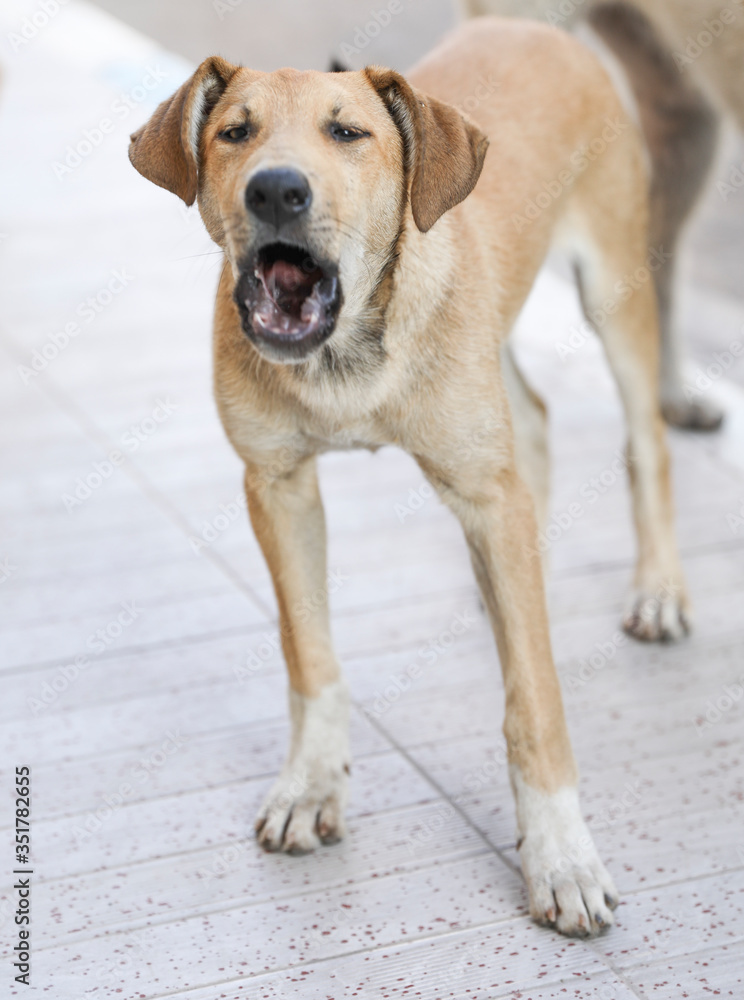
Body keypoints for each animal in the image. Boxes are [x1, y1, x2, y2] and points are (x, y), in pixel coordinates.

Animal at [129, 17, 692, 936]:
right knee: (534, 423)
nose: (275, 192)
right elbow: (310, 656)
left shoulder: (484, 493)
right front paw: (312, 783)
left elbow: (535, 702)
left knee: (646, 443)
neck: (350, 356)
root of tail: (525, 22)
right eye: (235, 132)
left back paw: (659, 591)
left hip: (615, 288)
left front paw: (562, 856)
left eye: (348, 134)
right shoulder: (276, 485)